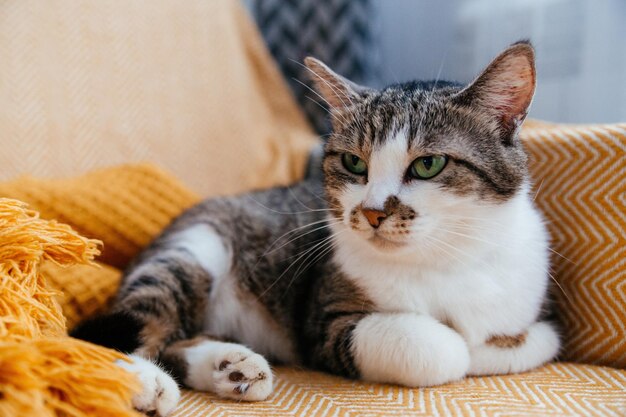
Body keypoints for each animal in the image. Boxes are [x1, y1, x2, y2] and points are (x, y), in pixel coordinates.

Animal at [73, 39, 560, 416]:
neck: (444, 258)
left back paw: (231, 366)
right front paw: (462, 346)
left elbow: (538, 339)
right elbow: (438, 348)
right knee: (126, 327)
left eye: (428, 164)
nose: (373, 212)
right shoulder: (324, 322)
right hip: (195, 249)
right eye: (354, 163)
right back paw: (141, 381)